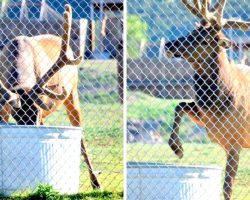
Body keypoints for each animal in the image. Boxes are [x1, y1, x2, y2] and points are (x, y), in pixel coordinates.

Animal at [0, 4, 100, 189]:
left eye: (37, 111)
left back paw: (96, 182)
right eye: (17, 116)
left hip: (72, 93)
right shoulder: (5, 107)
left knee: (80, 135)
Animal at [165, 0, 250, 199]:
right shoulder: (206, 119)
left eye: (204, 40)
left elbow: (227, 188)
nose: (169, 45)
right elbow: (179, 105)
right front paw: (177, 149)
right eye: (192, 32)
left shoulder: (236, 141)